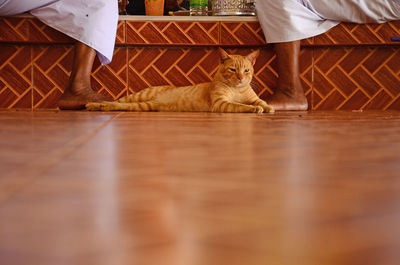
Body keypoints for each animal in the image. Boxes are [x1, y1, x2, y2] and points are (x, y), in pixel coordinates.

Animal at [86, 48, 276, 112]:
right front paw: (254, 109)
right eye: (233, 70)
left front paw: (268, 108)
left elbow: (263, 102)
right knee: (116, 101)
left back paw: (100, 107)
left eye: (246, 70)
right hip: (137, 97)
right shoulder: (221, 104)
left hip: (143, 105)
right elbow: (240, 106)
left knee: (117, 105)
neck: (237, 89)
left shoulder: (254, 98)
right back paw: (92, 104)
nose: (241, 77)